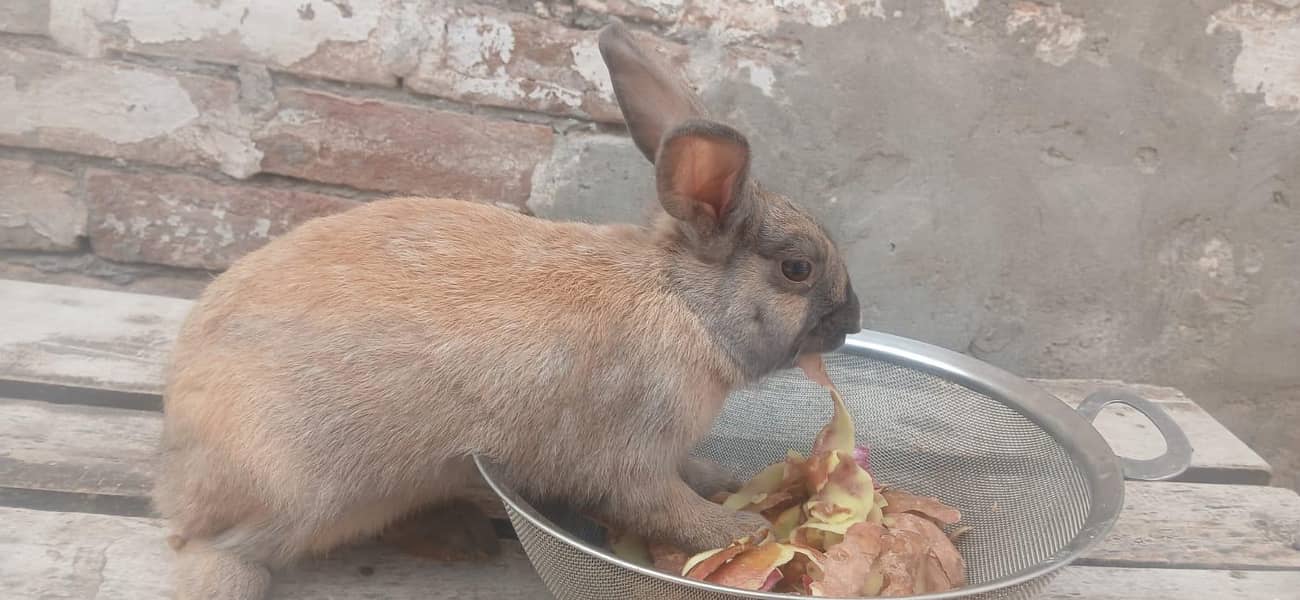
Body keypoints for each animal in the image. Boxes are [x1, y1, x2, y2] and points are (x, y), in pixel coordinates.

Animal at [153, 19, 861, 600]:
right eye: (797, 269)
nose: (851, 320)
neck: (682, 300)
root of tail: (176, 468)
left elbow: (687, 473)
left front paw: (722, 480)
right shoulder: (630, 455)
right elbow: (662, 506)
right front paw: (740, 526)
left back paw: (461, 536)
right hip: (300, 491)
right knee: (213, 548)